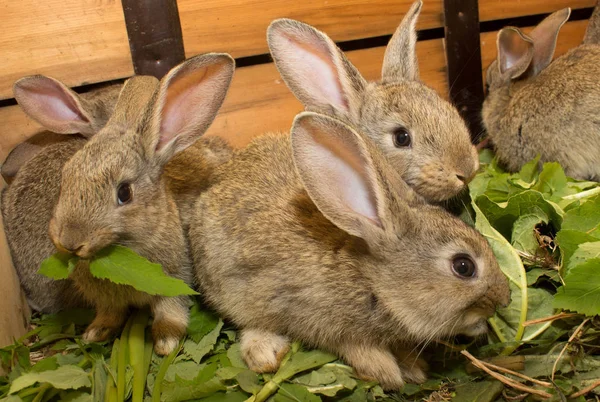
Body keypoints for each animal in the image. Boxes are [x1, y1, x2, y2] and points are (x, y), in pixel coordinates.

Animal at [21, 53, 234, 354]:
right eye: (65, 177)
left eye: (124, 193)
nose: (70, 241)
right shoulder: (107, 300)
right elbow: (110, 313)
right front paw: (95, 333)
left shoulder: (175, 278)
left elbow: (171, 310)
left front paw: (166, 342)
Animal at [190, 111, 508, 388]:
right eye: (464, 266)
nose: (502, 299)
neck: (373, 280)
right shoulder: (318, 319)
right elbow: (353, 346)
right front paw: (386, 371)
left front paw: (413, 367)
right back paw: (265, 352)